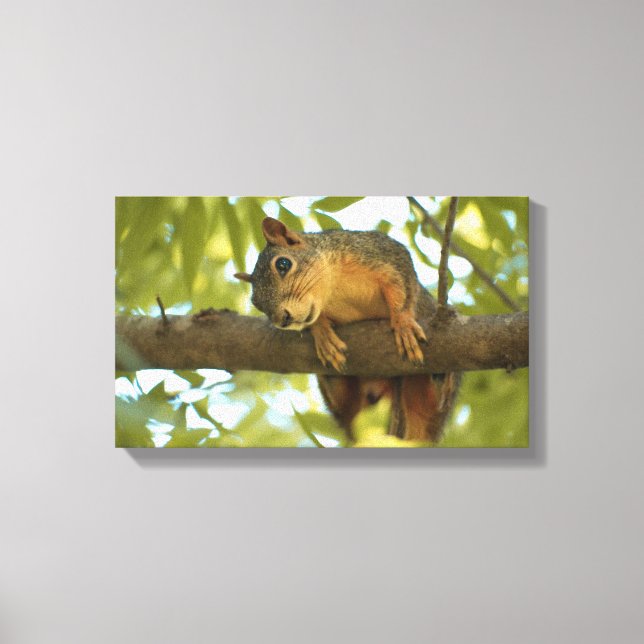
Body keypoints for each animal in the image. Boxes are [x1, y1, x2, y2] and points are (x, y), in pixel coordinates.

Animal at [235, 216, 460, 442]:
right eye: (256, 303)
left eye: (283, 264)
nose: (283, 319)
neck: (333, 290)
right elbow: (316, 320)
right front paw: (322, 332)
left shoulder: (382, 253)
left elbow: (402, 288)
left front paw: (403, 323)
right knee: (344, 401)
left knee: (434, 400)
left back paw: (439, 377)